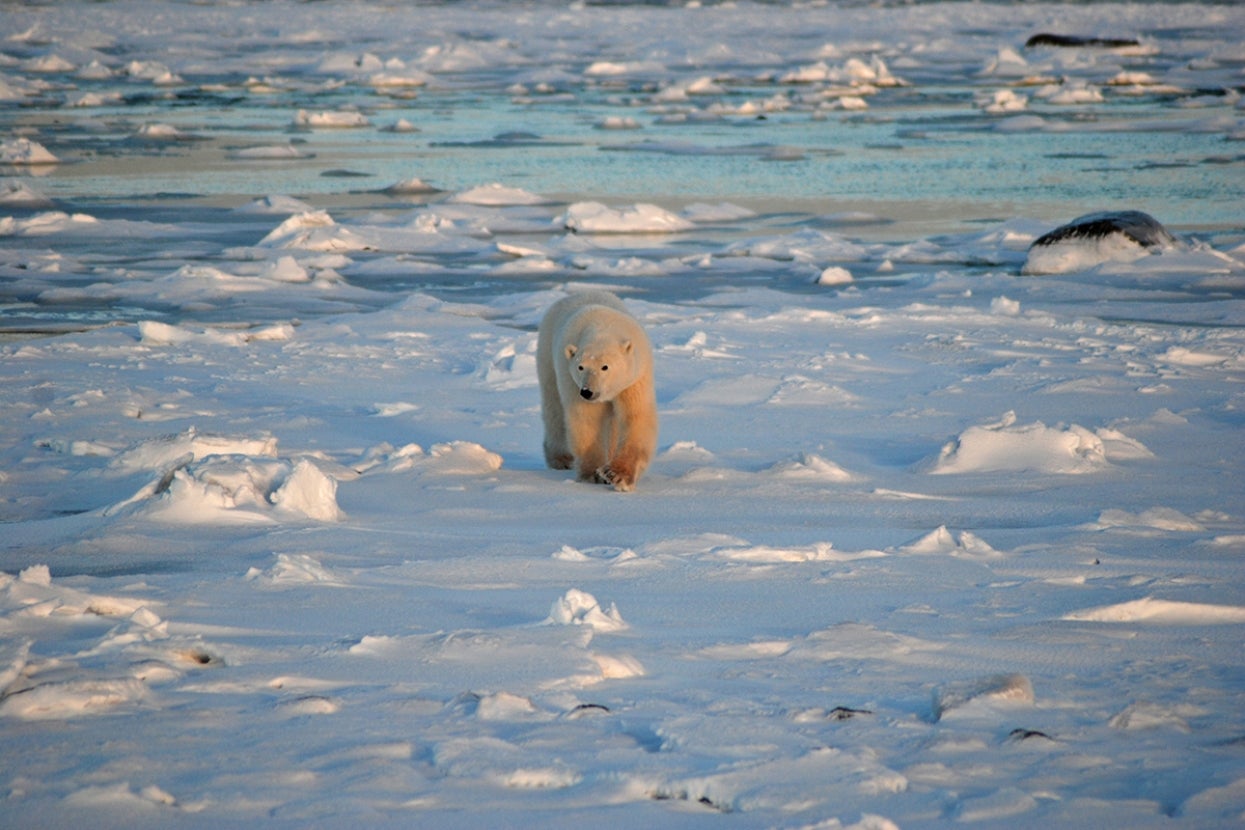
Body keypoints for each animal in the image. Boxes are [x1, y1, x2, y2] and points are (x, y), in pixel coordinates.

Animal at [536, 290, 658, 492]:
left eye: (605, 367)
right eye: (580, 367)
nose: (587, 392)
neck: (602, 328)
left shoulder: (634, 378)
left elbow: (635, 416)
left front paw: (617, 475)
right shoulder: (571, 378)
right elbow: (587, 419)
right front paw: (592, 474)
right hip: (547, 355)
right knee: (554, 409)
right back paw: (561, 459)